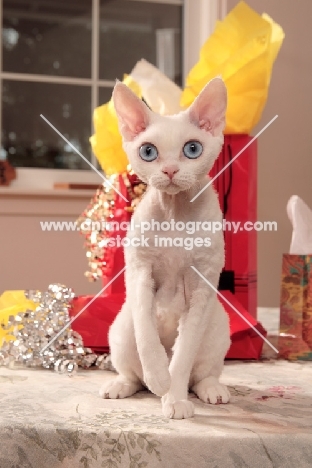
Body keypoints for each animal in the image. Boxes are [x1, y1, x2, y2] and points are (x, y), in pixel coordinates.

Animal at [100, 77, 232, 420]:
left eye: (192, 149)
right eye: (148, 151)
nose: (170, 170)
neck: (175, 212)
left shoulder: (202, 284)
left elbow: (183, 355)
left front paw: (173, 398)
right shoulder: (139, 272)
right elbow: (148, 339)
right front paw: (160, 376)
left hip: (218, 325)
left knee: (202, 373)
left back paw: (212, 390)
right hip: (121, 326)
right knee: (133, 373)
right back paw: (122, 385)